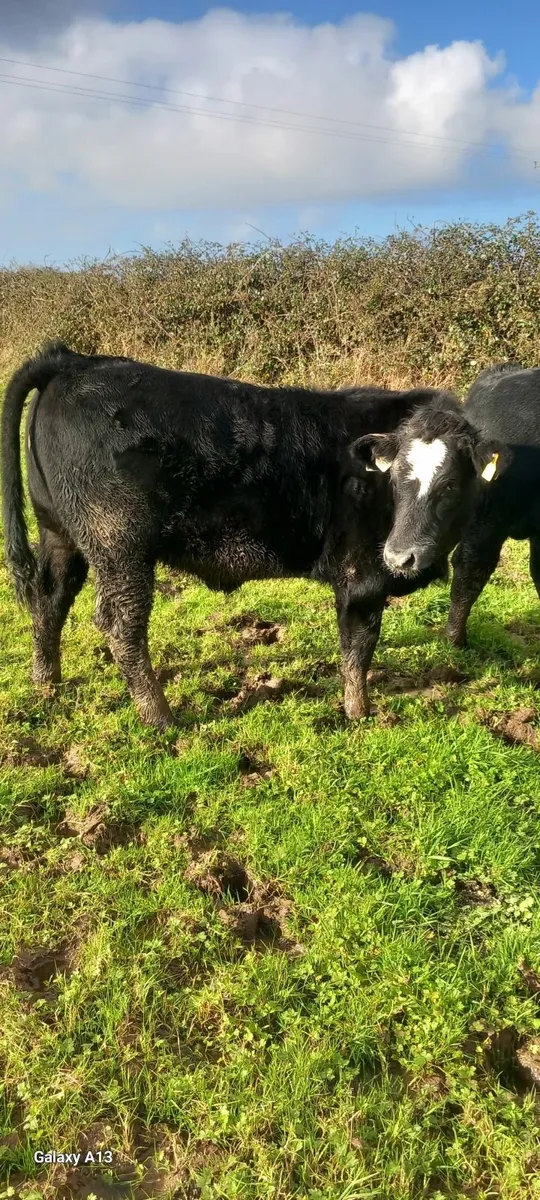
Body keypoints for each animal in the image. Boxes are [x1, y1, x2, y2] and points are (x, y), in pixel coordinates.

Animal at [1, 340, 452, 728]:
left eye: (453, 478)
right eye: (401, 475)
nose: (408, 552)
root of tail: (73, 360)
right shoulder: (363, 576)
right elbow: (359, 646)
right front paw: (360, 713)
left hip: (60, 534)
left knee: (50, 598)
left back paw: (47, 683)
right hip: (119, 546)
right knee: (121, 626)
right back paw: (160, 717)